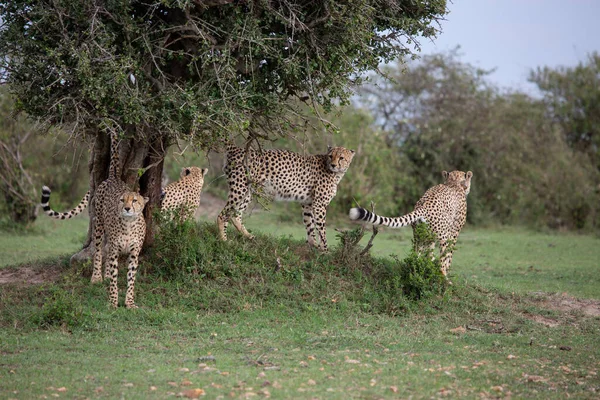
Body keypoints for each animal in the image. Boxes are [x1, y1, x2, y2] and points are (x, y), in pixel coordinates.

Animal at [40, 133, 148, 308]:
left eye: (135, 201)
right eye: (122, 200)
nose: (126, 208)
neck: (129, 224)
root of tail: (113, 177)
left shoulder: (134, 253)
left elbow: (131, 279)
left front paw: (130, 303)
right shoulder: (115, 248)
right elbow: (114, 278)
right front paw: (113, 302)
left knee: (106, 252)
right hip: (98, 224)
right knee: (98, 251)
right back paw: (97, 276)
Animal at [218, 144, 354, 250]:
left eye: (341, 158)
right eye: (331, 156)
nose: (333, 165)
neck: (335, 173)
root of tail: (237, 148)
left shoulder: (308, 203)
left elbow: (309, 225)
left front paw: (313, 244)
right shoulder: (319, 204)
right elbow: (322, 228)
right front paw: (324, 249)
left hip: (248, 191)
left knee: (235, 214)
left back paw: (248, 236)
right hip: (240, 188)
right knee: (223, 214)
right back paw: (224, 241)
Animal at [346, 170, 474, 276]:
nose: (468, 189)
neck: (454, 183)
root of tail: (424, 205)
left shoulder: (431, 236)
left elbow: (430, 254)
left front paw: (430, 266)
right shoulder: (454, 232)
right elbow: (449, 256)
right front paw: (444, 270)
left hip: (419, 234)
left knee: (416, 255)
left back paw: (415, 272)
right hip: (442, 236)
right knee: (442, 260)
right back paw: (444, 280)